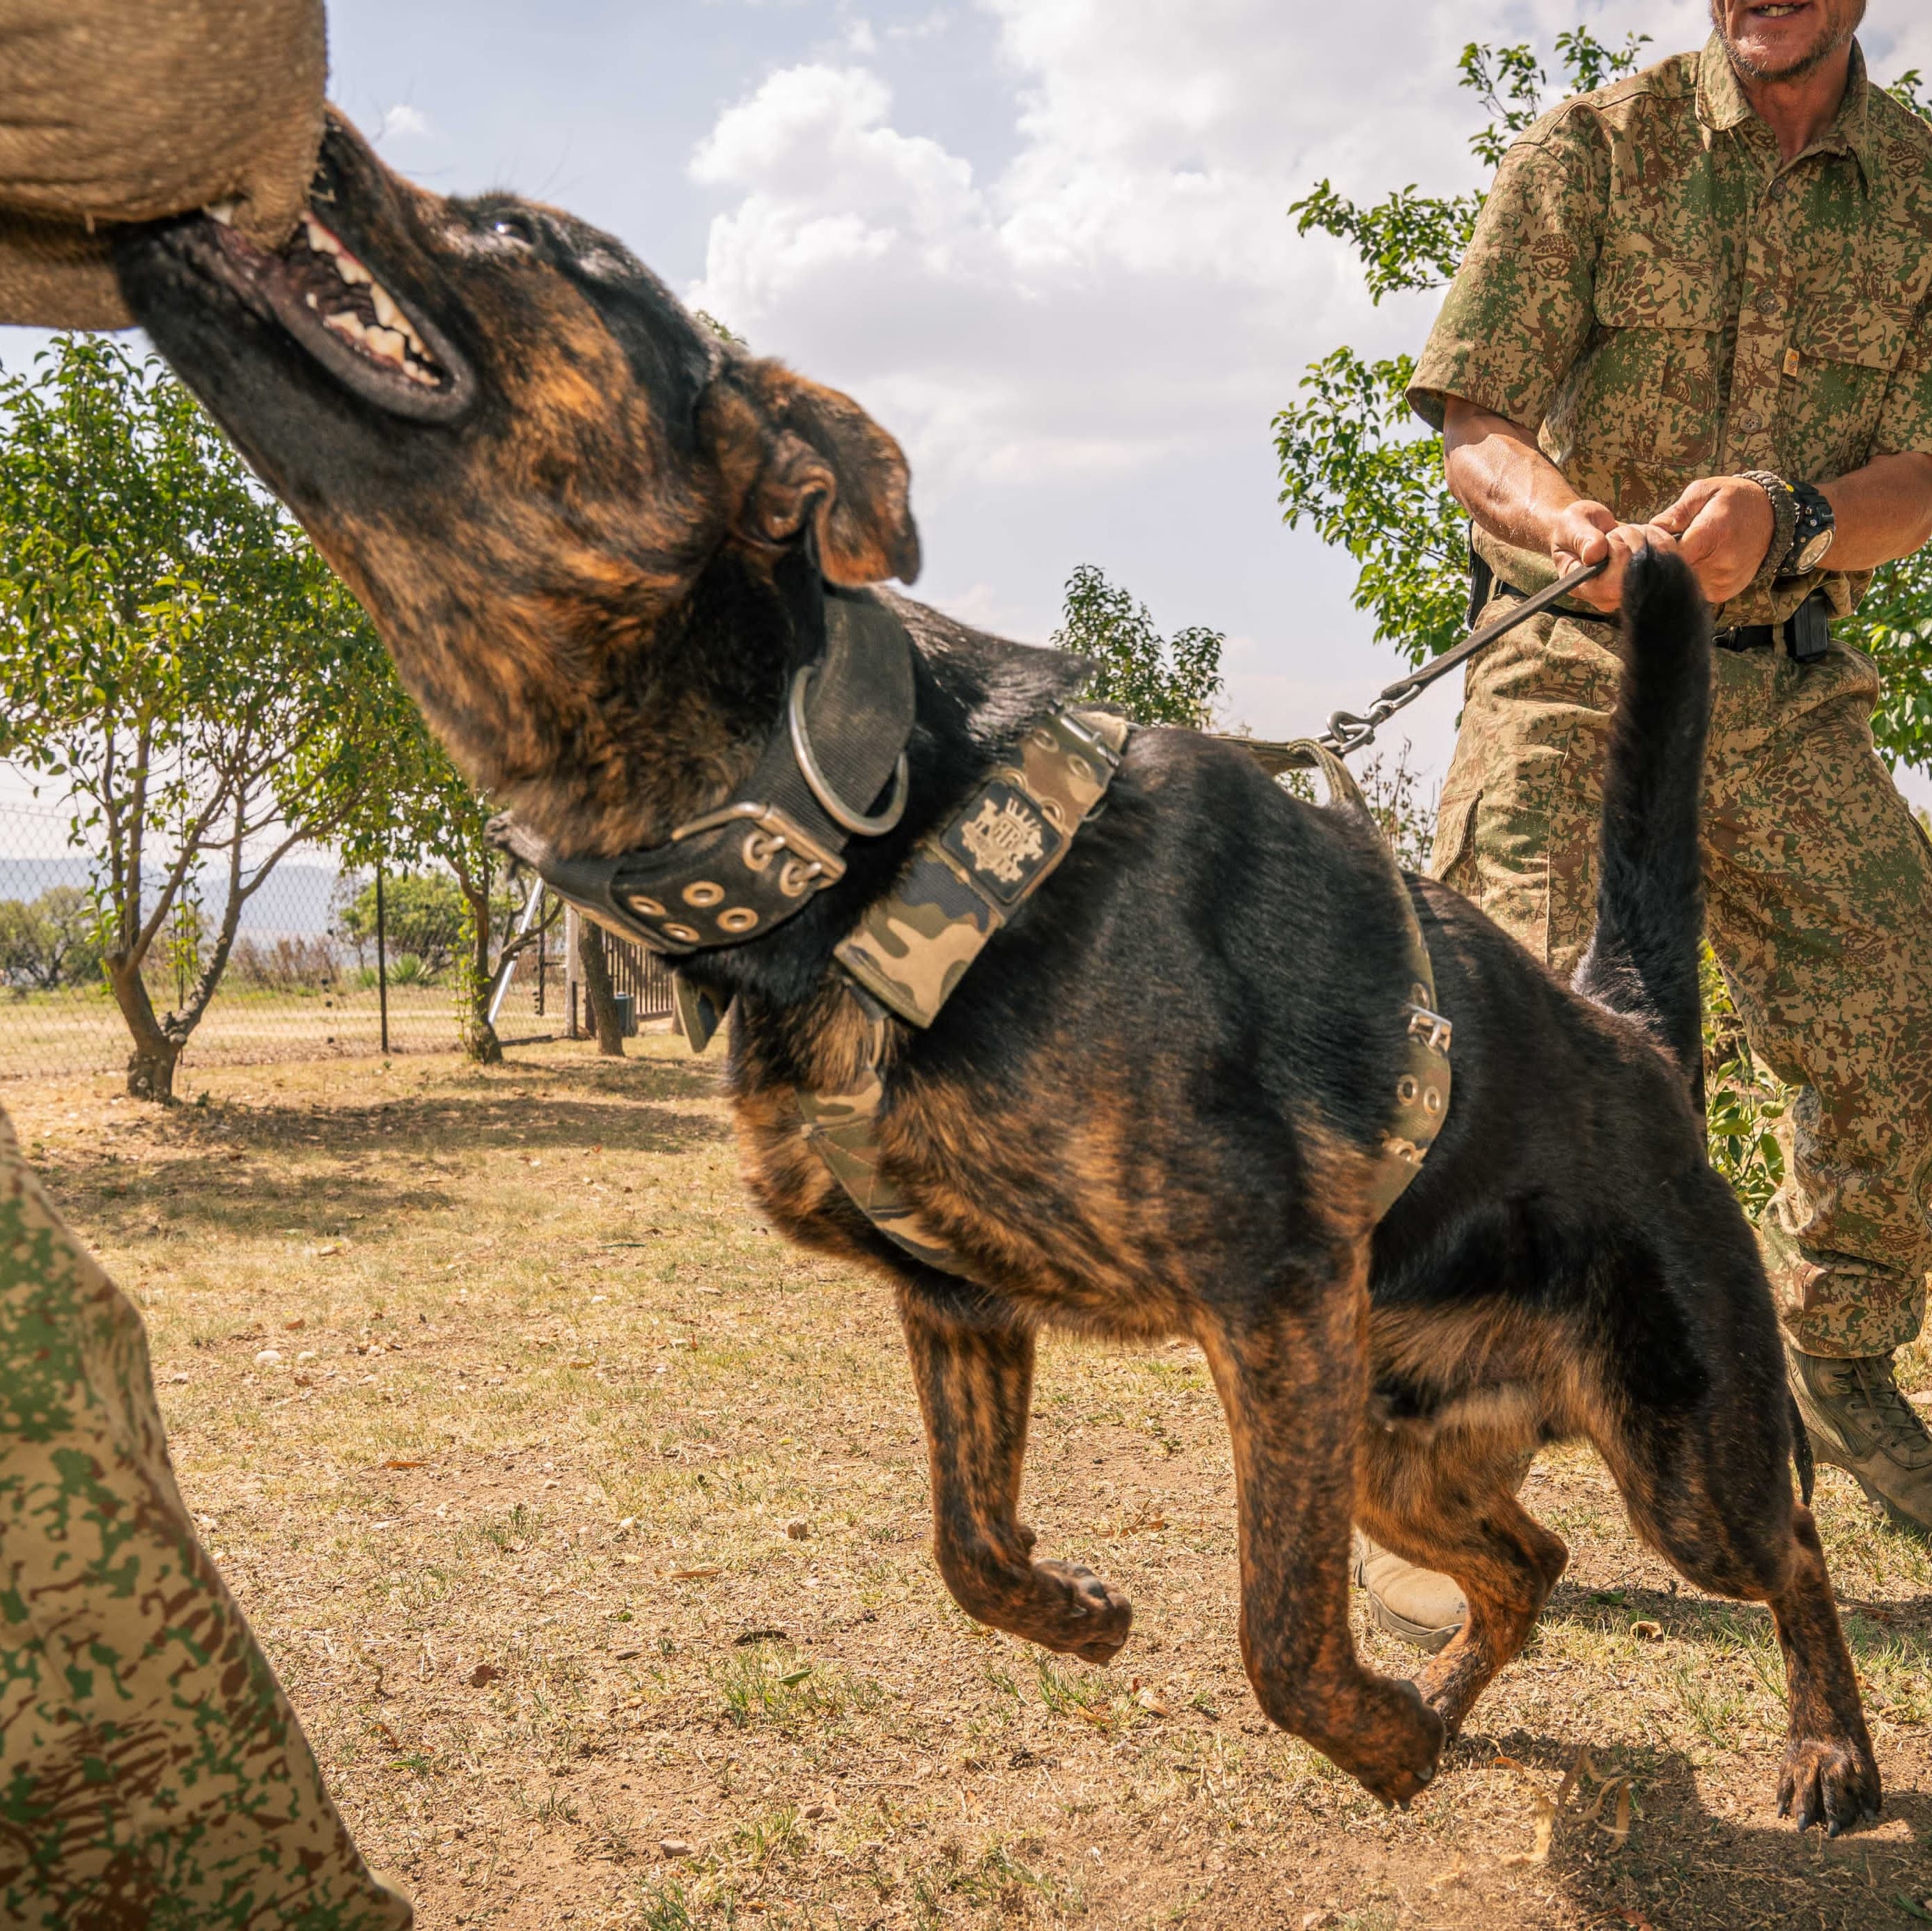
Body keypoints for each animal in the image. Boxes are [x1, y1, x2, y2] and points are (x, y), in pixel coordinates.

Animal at [113, 113, 1878, 1830]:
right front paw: (1087, 1613)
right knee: (1531, 1558)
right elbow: (967, 1549)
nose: (292, 124)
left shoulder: (1271, 1300)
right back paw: (1436, 1717)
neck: (846, 812)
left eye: (516, 234)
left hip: (1667, 1445)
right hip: (1390, 1442)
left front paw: (1343, 1716)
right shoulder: (963, 1301)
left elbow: (1276, 1635)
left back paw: (1821, 1751)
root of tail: (1626, 1029)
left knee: (1783, 1549)